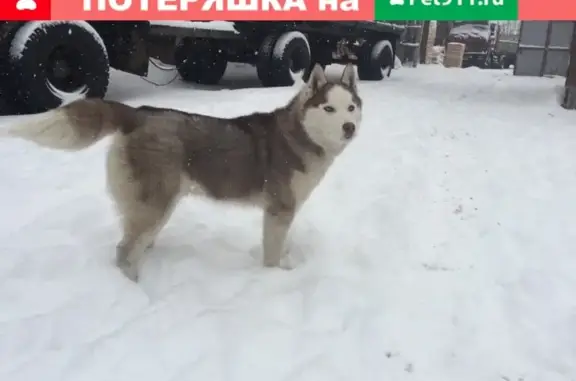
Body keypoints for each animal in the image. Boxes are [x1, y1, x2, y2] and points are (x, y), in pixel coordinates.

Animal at [4, 63, 362, 280]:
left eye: (351, 107)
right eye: (329, 108)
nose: (349, 127)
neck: (300, 134)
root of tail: (138, 113)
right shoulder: (278, 209)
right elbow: (272, 254)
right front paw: (276, 277)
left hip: (159, 203)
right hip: (155, 203)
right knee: (124, 252)